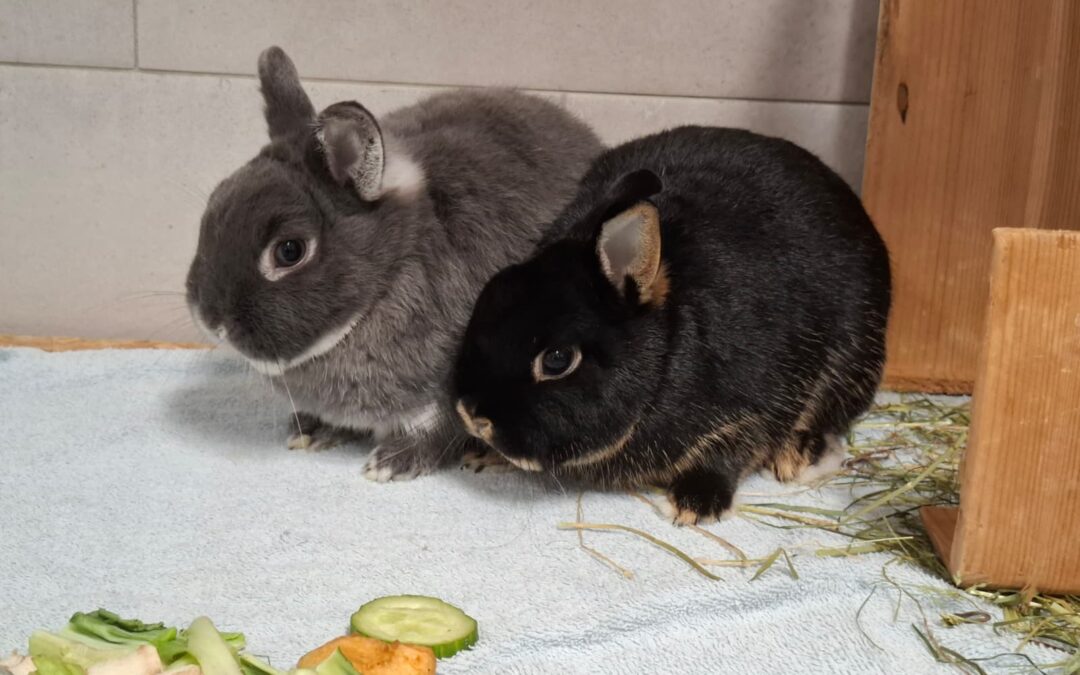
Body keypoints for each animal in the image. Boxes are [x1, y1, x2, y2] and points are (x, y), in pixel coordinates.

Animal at [185, 46, 602, 480]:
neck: (386, 280)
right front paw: (311, 432)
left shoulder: (444, 395)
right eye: (213, 207)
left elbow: (434, 433)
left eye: (289, 251)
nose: (210, 321)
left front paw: (388, 464)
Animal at [453, 126, 891, 524]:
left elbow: (732, 449)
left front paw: (695, 504)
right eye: (489, 294)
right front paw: (481, 455)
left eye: (558, 359)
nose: (472, 416)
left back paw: (797, 454)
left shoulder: (755, 404)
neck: (666, 352)